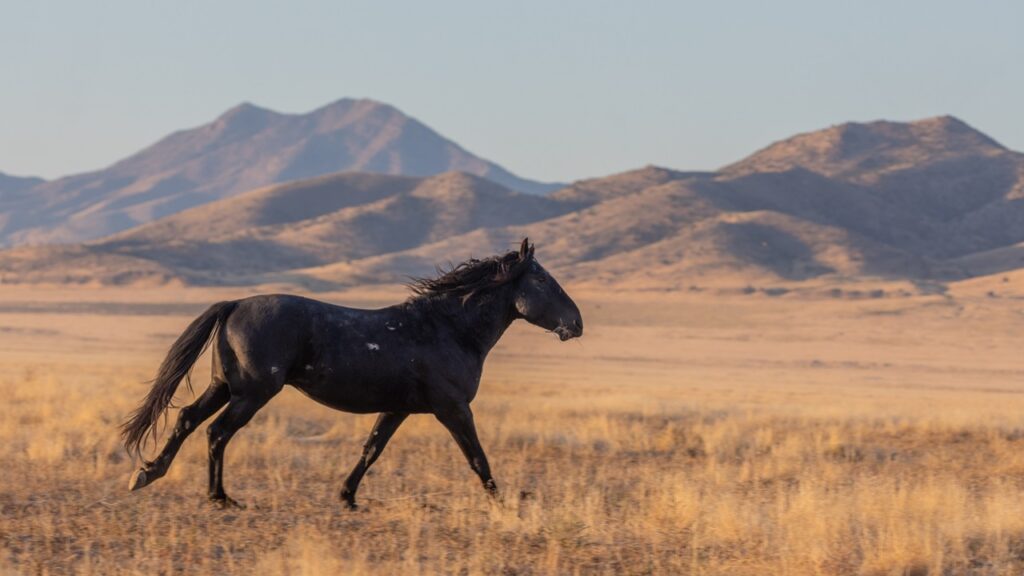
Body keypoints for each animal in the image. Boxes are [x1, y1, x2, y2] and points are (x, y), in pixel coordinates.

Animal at [121, 238, 583, 509]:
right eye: (543, 280)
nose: (576, 324)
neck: (447, 329)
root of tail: (234, 304)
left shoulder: (398, 409)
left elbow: (371, 449)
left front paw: (347, 497)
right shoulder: (452, 409)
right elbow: (476, 456)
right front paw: (504, 502)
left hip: (225, 386)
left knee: (186, 419)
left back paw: (147, 474)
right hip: (252, 393)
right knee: (216, 432)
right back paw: (219, 498)